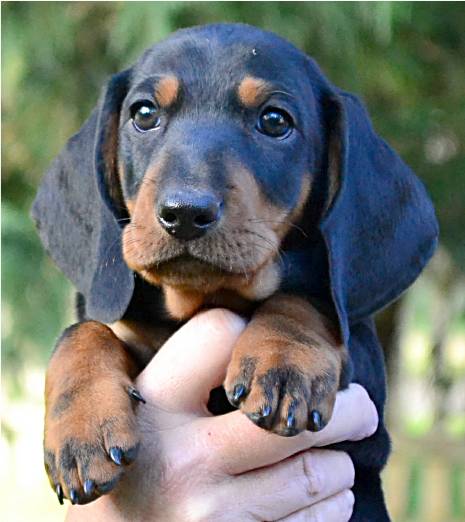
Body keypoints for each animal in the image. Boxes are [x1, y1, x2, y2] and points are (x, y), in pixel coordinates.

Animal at [33, 23, 438, 516]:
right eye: (144, 113)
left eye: (275, 121)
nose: (185, 213)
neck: (203, 299)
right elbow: (83, 331)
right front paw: (82, 427)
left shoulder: (365, 391)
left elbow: (309, 299)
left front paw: (284, 359)